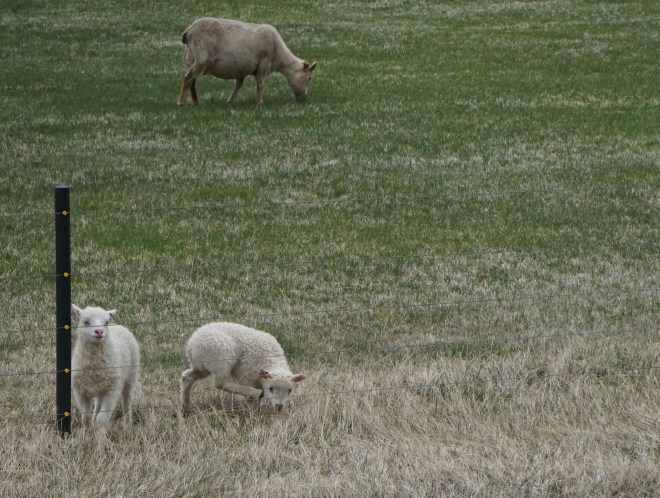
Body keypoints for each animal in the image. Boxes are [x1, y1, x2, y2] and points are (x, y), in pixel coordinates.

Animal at [176, 17, 317, 106]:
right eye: (309, 78)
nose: (304, 98)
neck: (280, 58)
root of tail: (188, 32)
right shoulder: (264, 64)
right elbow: (260, 84)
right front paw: (260, 103)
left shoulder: (242, 68)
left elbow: (238, 85)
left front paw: (230, 101)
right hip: (201, 57)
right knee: (188, 78)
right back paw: (181, 102)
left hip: (192, 58)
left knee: (192, 81)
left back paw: (195, 102)